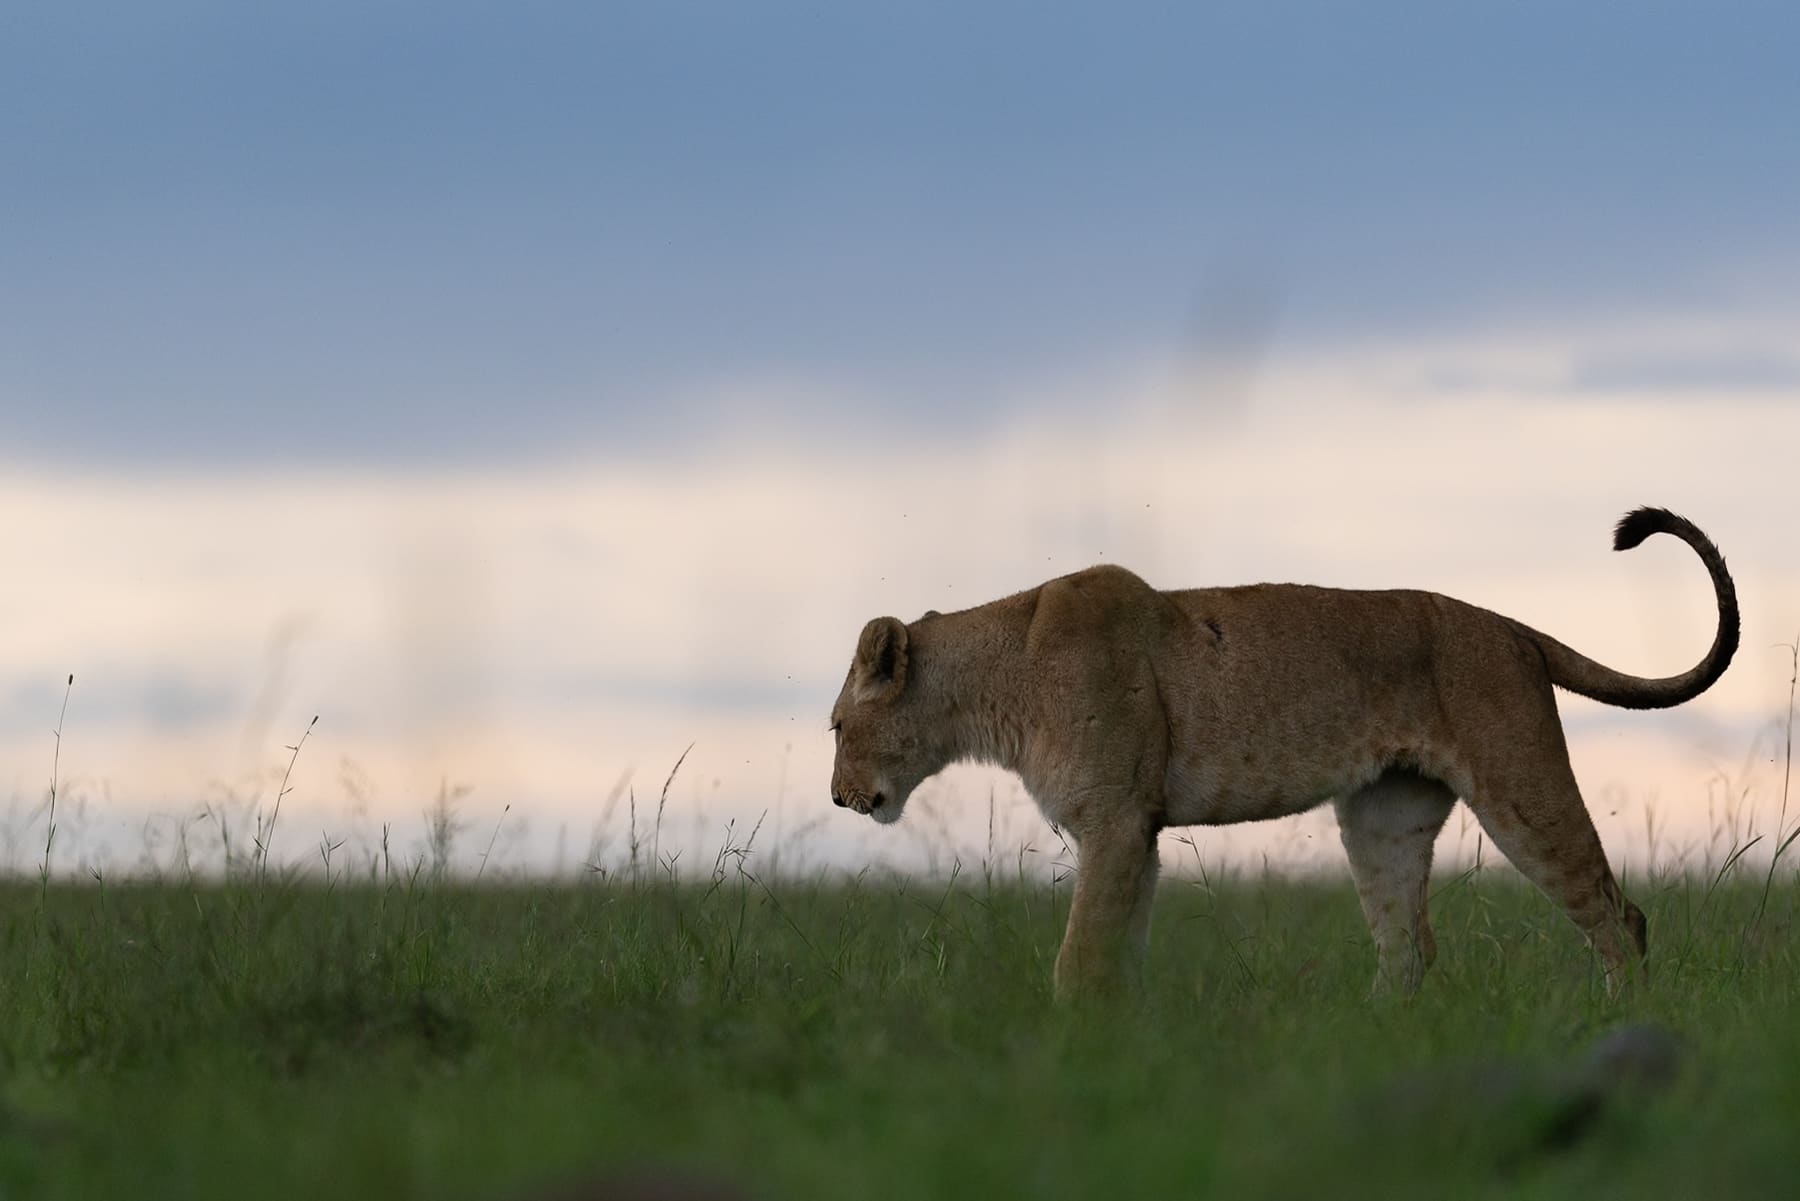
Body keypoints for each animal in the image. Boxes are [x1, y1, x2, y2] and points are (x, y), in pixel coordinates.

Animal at [828, 507, 1737, 998]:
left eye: (836, 729)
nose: (838, 798)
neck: (999, 680)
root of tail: (1515, 627)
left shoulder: (1115, 820)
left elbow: (1081, 957)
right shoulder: (1134, 832)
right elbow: (1119, 951)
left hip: (1519, 778)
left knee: (1618, 915)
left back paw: (1620, 1020)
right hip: (1385, 816)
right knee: (1407, 947)